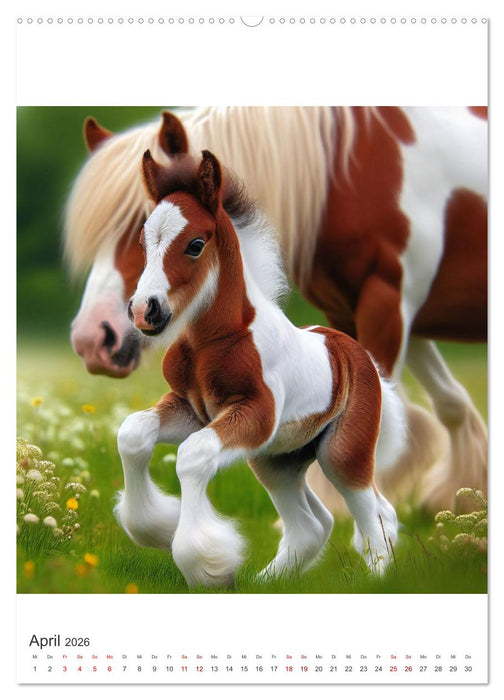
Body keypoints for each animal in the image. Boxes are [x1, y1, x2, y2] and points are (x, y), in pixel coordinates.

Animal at [65, 107, 487, 513]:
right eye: (143, 240)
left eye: (195, 244)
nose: (94, 340)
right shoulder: (353, 311)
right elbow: (448, 401)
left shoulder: (387, 299)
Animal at [114, 148, 407, 588]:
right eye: (144, 242)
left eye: (195, 245)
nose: (143, 311)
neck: (213, 341)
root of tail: (353, 350)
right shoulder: (193, 410)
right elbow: (132, 433)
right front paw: (160, 529)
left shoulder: (255, 412)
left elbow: (193, 454)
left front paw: (205, 564)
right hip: (278, 460)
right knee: (314, 524)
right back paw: (267, 582)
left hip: (341, 451)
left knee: (368, 509)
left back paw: (375, 579)